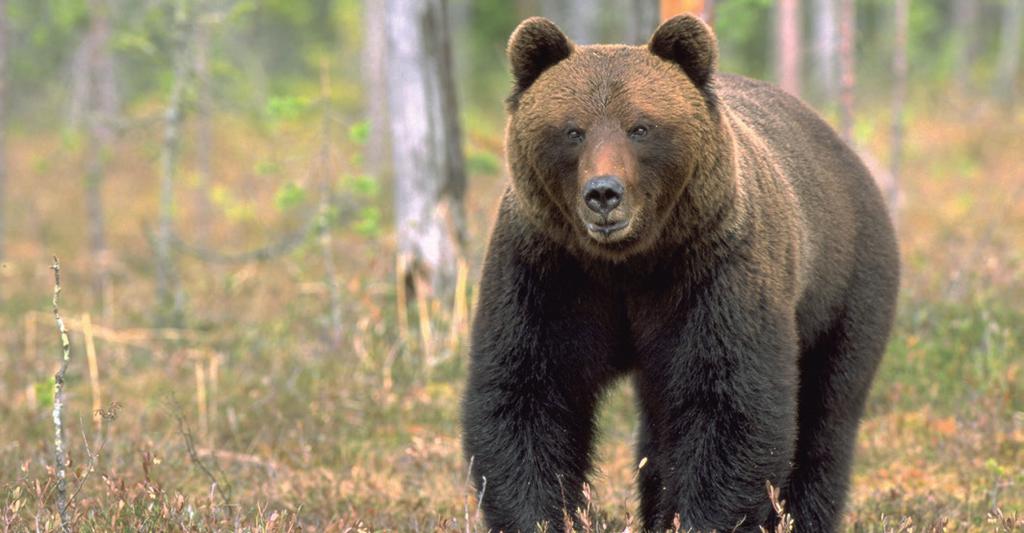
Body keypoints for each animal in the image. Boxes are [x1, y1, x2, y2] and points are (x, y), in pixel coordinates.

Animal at [460, 13, 901, 531]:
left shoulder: (713, 270)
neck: (627, 261)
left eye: (640, 127)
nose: (603, 193)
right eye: (573, 130)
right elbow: (527, 394)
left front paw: (699, 516)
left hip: (844, 289)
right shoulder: (548, 270)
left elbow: (728, 404)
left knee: (824, 414)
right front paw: (548, 516)